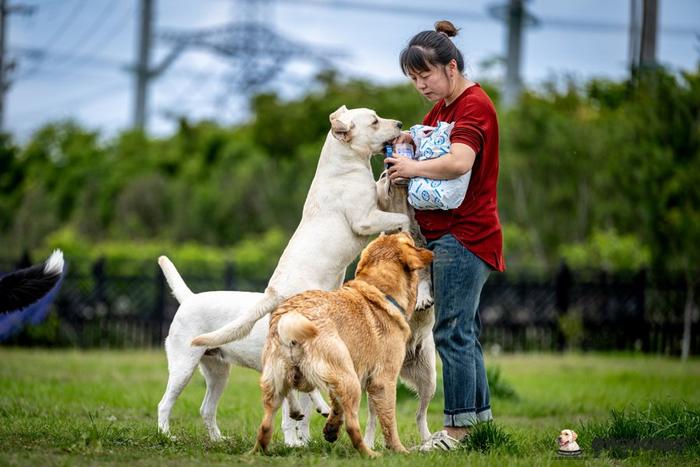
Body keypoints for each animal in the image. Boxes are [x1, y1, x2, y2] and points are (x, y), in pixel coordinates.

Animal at [191, 106, 410, 348]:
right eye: (374, 122)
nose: (400, 124)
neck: (346, 164)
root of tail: (274, 292)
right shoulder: (365, 220)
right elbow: (402, 218)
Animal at [254, 234, 434, 458]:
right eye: (406, 240)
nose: (407, 230)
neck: (381, 292)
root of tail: (291, 319)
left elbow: (336, 405)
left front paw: (331, 429)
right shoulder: (384, 380)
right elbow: (389, 422)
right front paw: (400, 451)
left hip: (280, 385)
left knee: (265, 427)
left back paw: (257, 452)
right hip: (351, 382)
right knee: (353, 427)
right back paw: (370, 454)